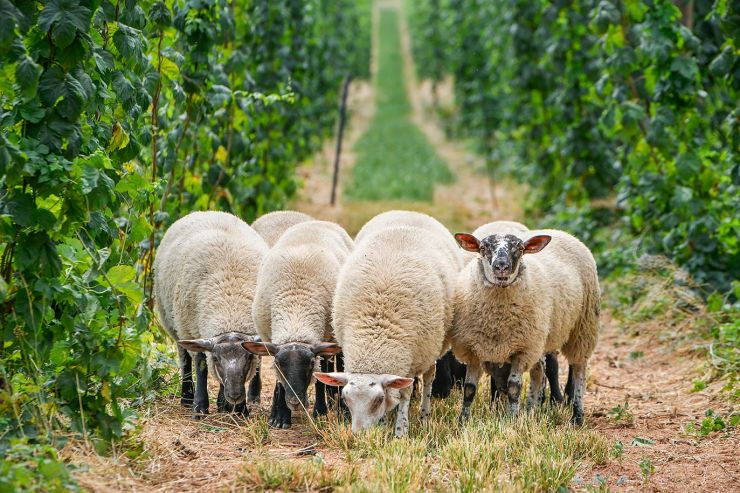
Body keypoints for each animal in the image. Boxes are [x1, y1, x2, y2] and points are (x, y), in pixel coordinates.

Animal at [152, 211, 268, 416]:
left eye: (247, 358)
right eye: (216, 358)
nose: (235, 395)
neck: (230, 309)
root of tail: (208, 212)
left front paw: (238, 408)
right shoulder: (190, 329)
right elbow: (201, 365)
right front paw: (200, 406)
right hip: (175, 325)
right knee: (184, 359)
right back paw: (187, 397)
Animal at [240, 219, 350, 426]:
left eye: (310, 363)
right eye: (279, 364)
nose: (295, 402)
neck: (295, 311)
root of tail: (319, 221)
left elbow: (320, 376)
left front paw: (320, 412)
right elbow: (278, 383)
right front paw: (279, 415)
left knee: (337, 362)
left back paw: (338, 403)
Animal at [316, 209, 462, 436]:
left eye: (378, 399)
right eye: (345, 398)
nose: (358, 435)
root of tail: (410, 211)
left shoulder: (410, 360)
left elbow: (405, 394)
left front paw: (401, 430)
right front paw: (384, 424)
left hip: (432, 345)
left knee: (429, 378)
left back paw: (424, 414)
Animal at [450, 227, 600, 422]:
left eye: (520, 249)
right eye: (483, 248)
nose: (501, 266)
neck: (497, 319)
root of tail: (557, 231)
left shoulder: (522, 350)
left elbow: (513, 387)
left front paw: (512, 419)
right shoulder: (474, 349)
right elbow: (469, 389)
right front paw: (463, 420)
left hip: (583, 327)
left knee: (579, 370)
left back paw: (577, 416)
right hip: (540, 340)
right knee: (539, 372)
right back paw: (531, 409)